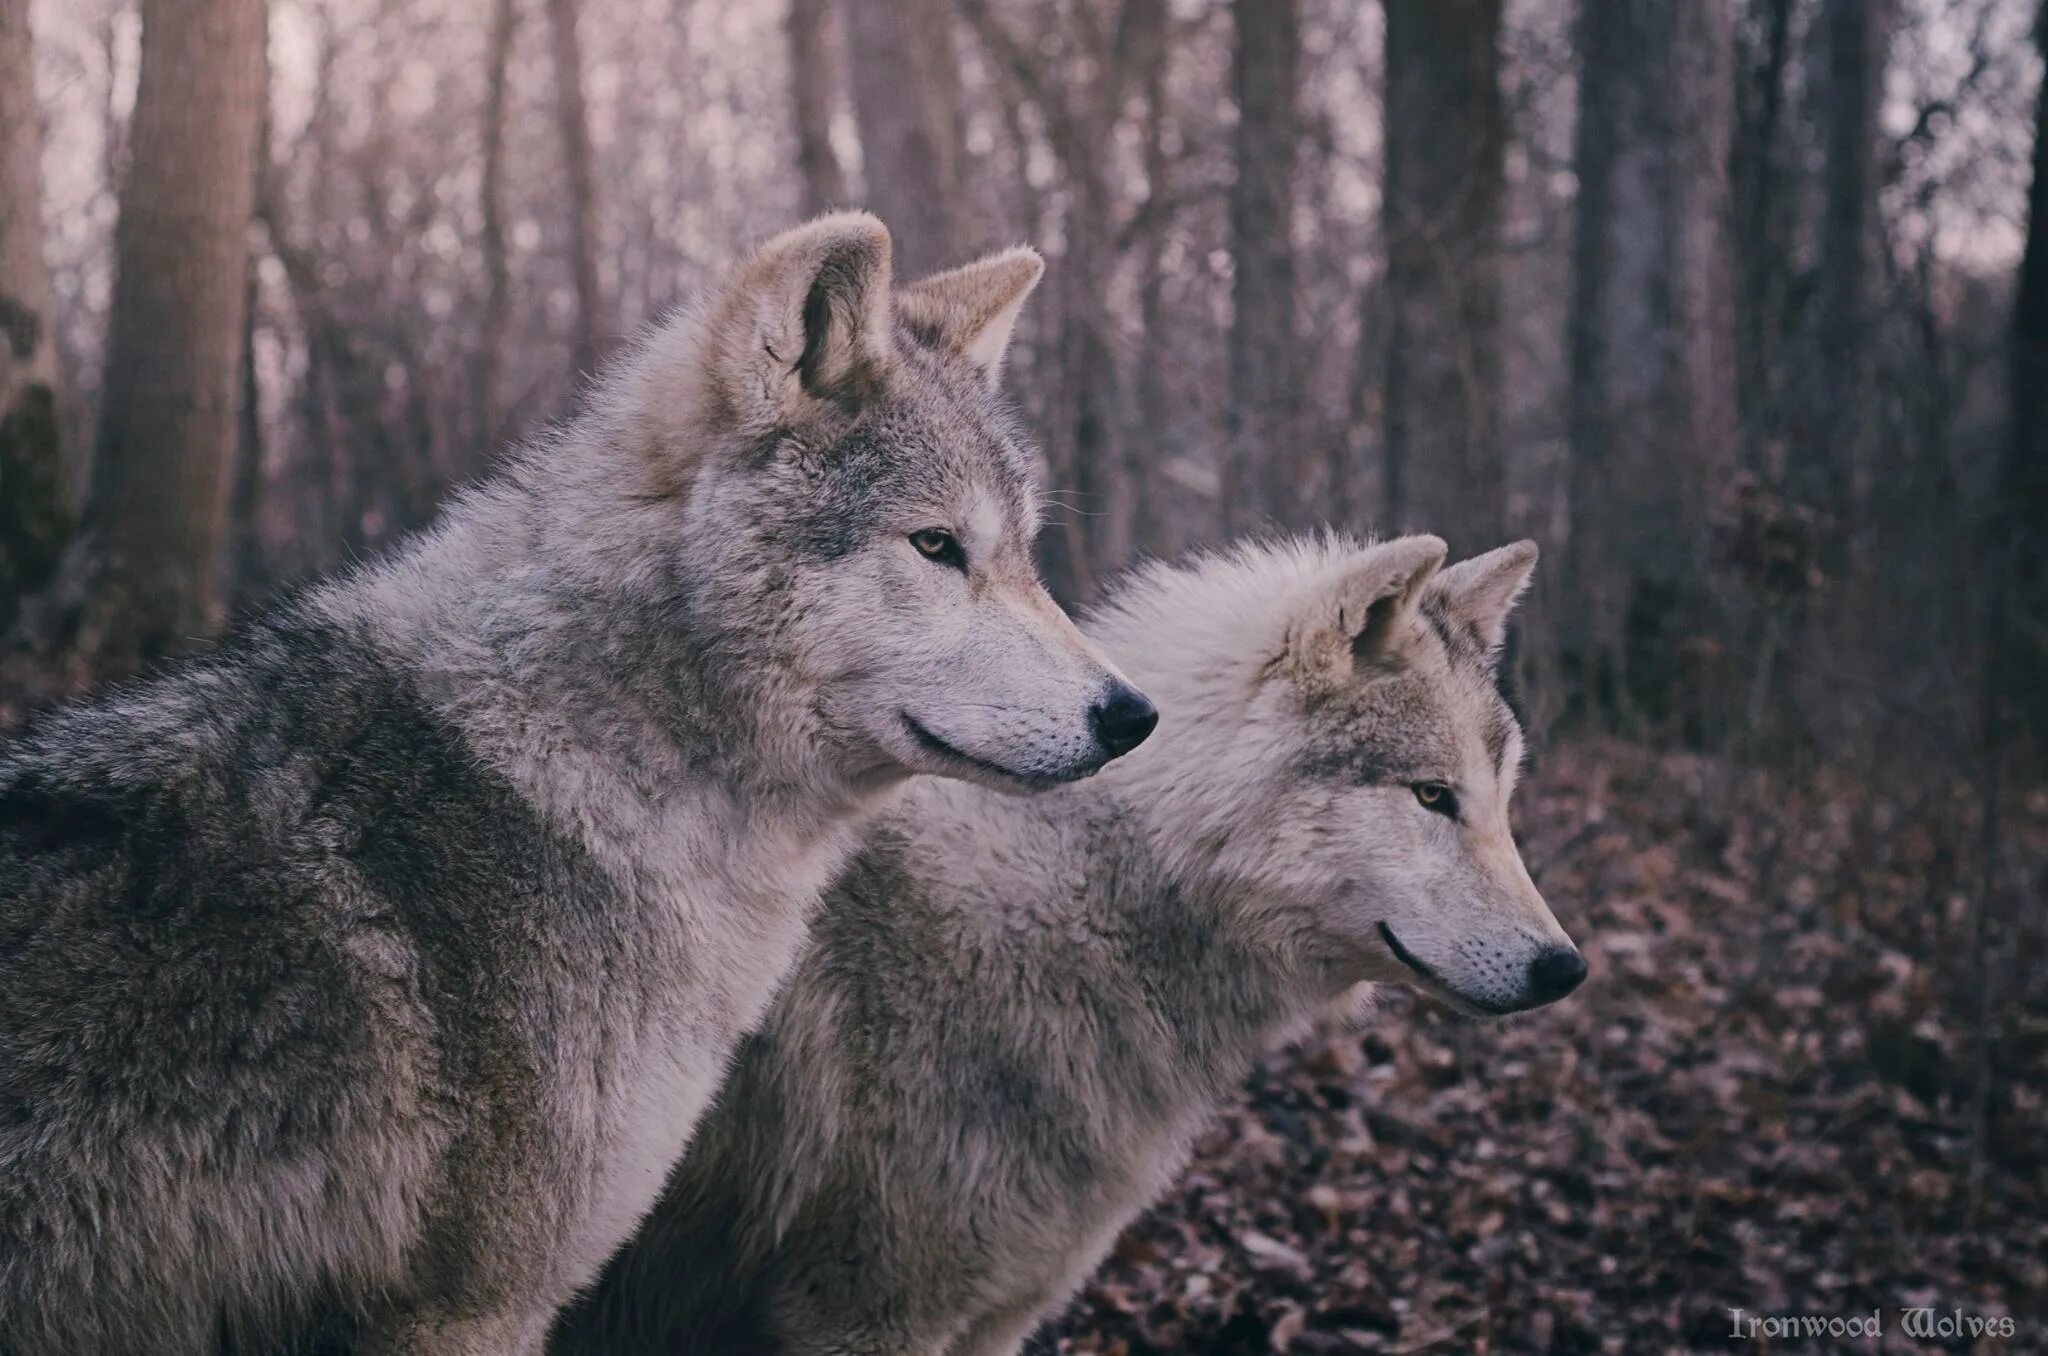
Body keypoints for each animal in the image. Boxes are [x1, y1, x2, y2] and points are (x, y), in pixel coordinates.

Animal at [548, 532, 1581, 1356]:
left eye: (1502, 797)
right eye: (1432, 796)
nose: (1566, 969)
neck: (1076, 905)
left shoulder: (996, 1315)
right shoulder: (864, 1314)